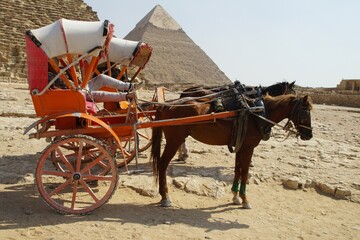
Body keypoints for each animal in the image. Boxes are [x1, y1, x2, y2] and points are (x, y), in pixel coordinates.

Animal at [149, 94, 312, 208]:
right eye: (305, 114)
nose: (309, 135)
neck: (257, 113)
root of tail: (166, 105)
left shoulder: (240, 146)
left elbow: (237, 170)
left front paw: (236, 196)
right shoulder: (248, 147)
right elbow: (245, 172)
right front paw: (245, 200)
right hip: (174, 140)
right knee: (162, 164)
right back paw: (165, 197)